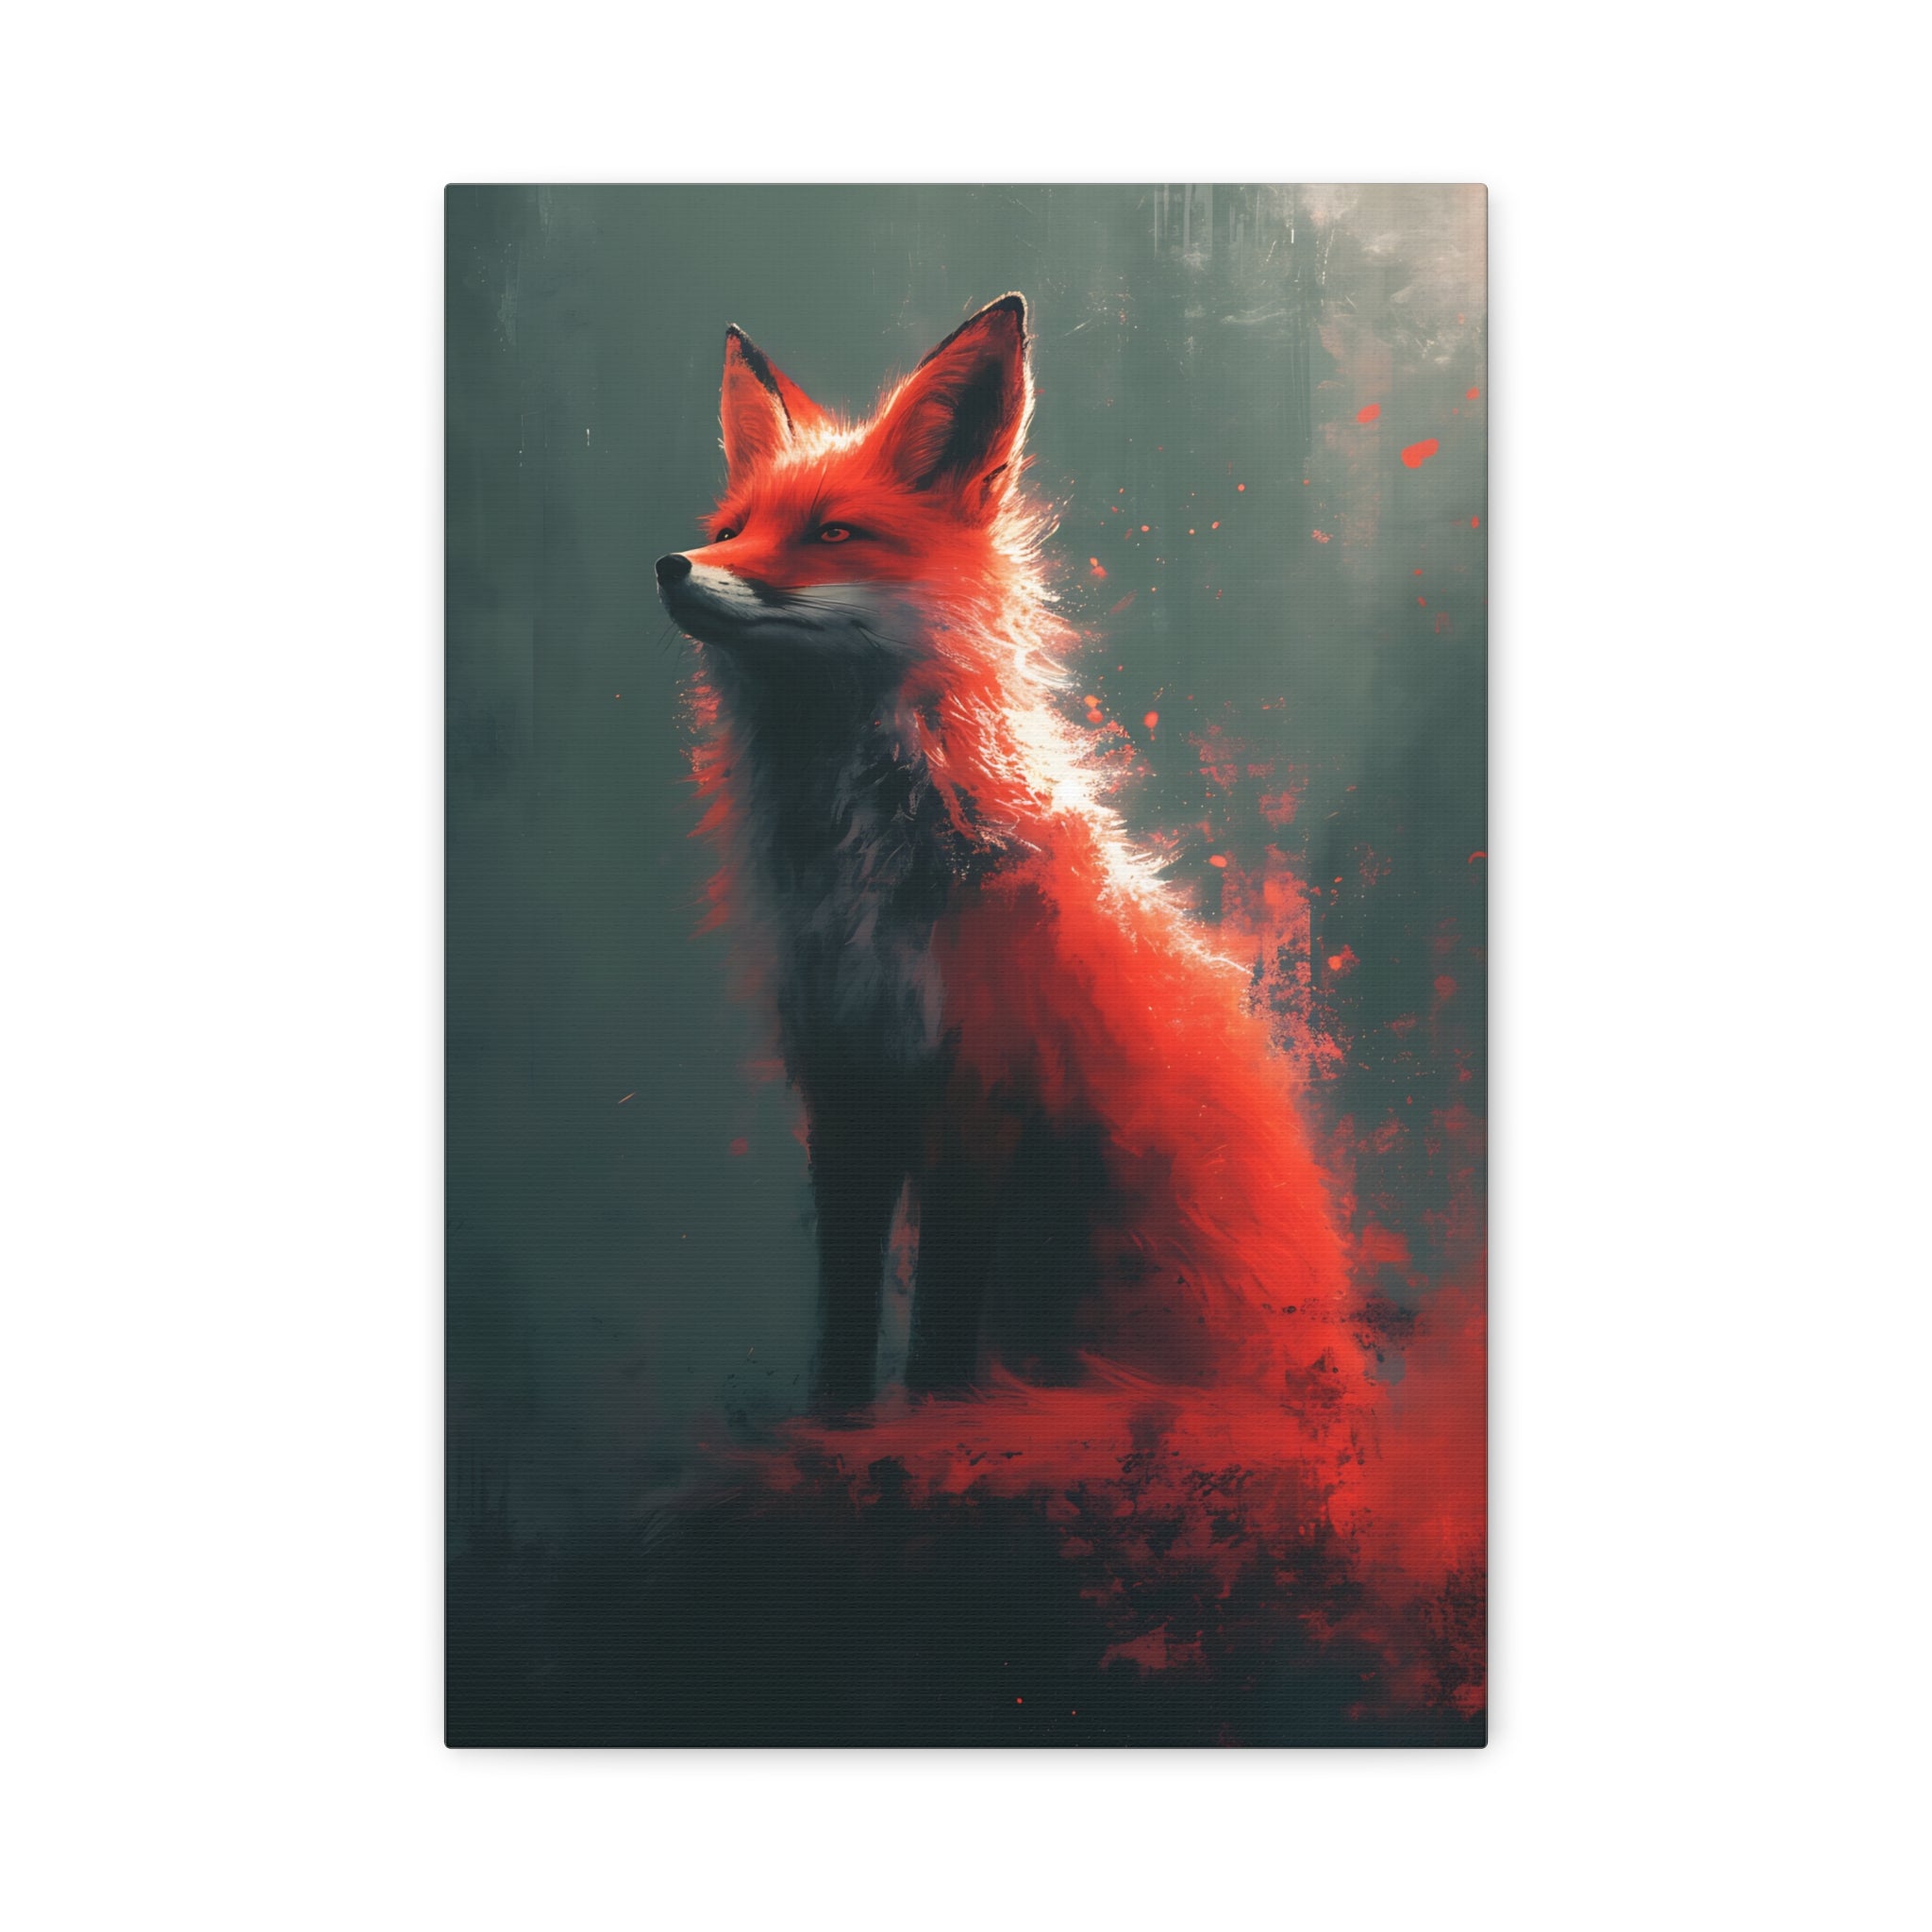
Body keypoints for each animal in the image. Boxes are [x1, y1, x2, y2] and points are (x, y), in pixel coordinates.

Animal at [656, 294, 1360, 1420]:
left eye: (832, 533)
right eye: (731, 531)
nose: (673, 566)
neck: (867, 868)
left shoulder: (983, 1083)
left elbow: (942, 1315)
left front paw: (934, 1423)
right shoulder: (844, 1079)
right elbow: (844, 1307)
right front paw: (836, 1426)